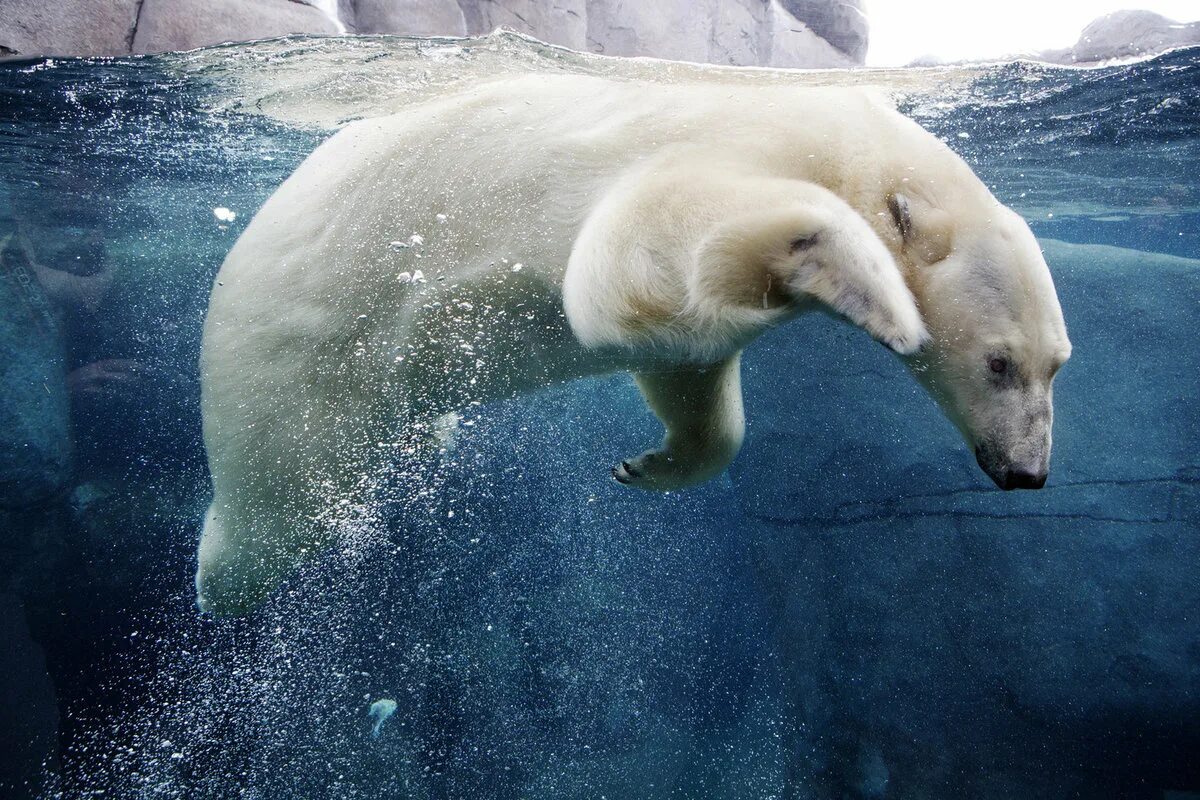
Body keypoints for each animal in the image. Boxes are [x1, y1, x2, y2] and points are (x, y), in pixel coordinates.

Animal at [196, 73, 1070, 614]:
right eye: (1000, 362)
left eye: (1057, 364)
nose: (1026, 472)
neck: (841, 137)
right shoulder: (726, 136)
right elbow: (630, 246)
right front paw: (866, 283)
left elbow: (684, 359)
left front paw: (648, 464)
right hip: (293, 379)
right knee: (276, 510)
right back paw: (216, 576)